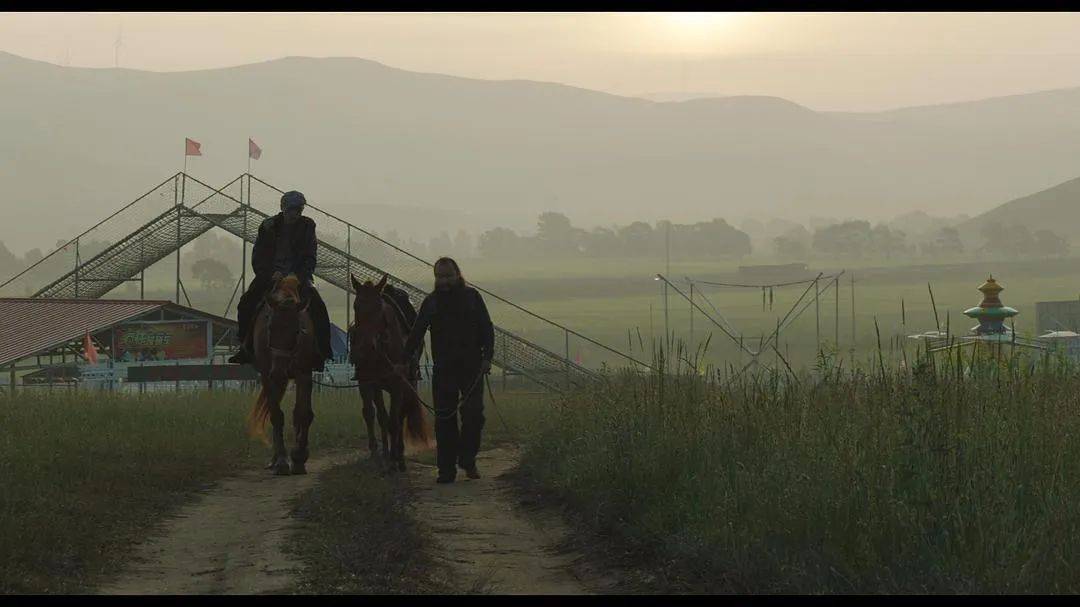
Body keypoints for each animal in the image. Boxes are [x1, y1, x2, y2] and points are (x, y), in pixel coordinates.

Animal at [243, 272, 315, 475]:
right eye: (269, 328)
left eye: (297, 331)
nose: (280, 371)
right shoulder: (267, 377)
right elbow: (276, 415)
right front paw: (283, 461)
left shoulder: (304, 374)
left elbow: (303, 413)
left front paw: (299, 457)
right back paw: (275, 460)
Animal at [347, 272, 427, 470]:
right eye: (356, 305)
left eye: (379, 308)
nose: (365, 347)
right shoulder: (367, 383)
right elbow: (371, 414)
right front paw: (377, 454)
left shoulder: (398, 385)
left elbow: (394, 420)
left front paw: (394, 459)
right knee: (383, 415)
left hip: (408, 384)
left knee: (400, 415)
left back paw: (399, 455)